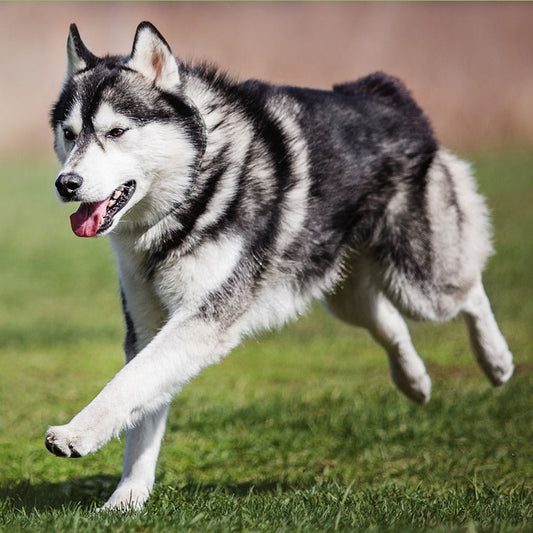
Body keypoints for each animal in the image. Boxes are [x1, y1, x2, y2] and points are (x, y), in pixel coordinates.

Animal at [45, 22, 512, 510]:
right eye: (69, 133)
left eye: (117, 131)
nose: (66, 184)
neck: (191, 192)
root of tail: (384, 91)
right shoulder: (147, 325)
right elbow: (143, 405)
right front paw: (128, 497)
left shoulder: (203, 319)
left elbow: (128, 384)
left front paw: (76, 434)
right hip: (343, 291)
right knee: (388, 321)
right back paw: (414, 381)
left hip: (420, 281)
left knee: (469, 291)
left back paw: (496, 361)